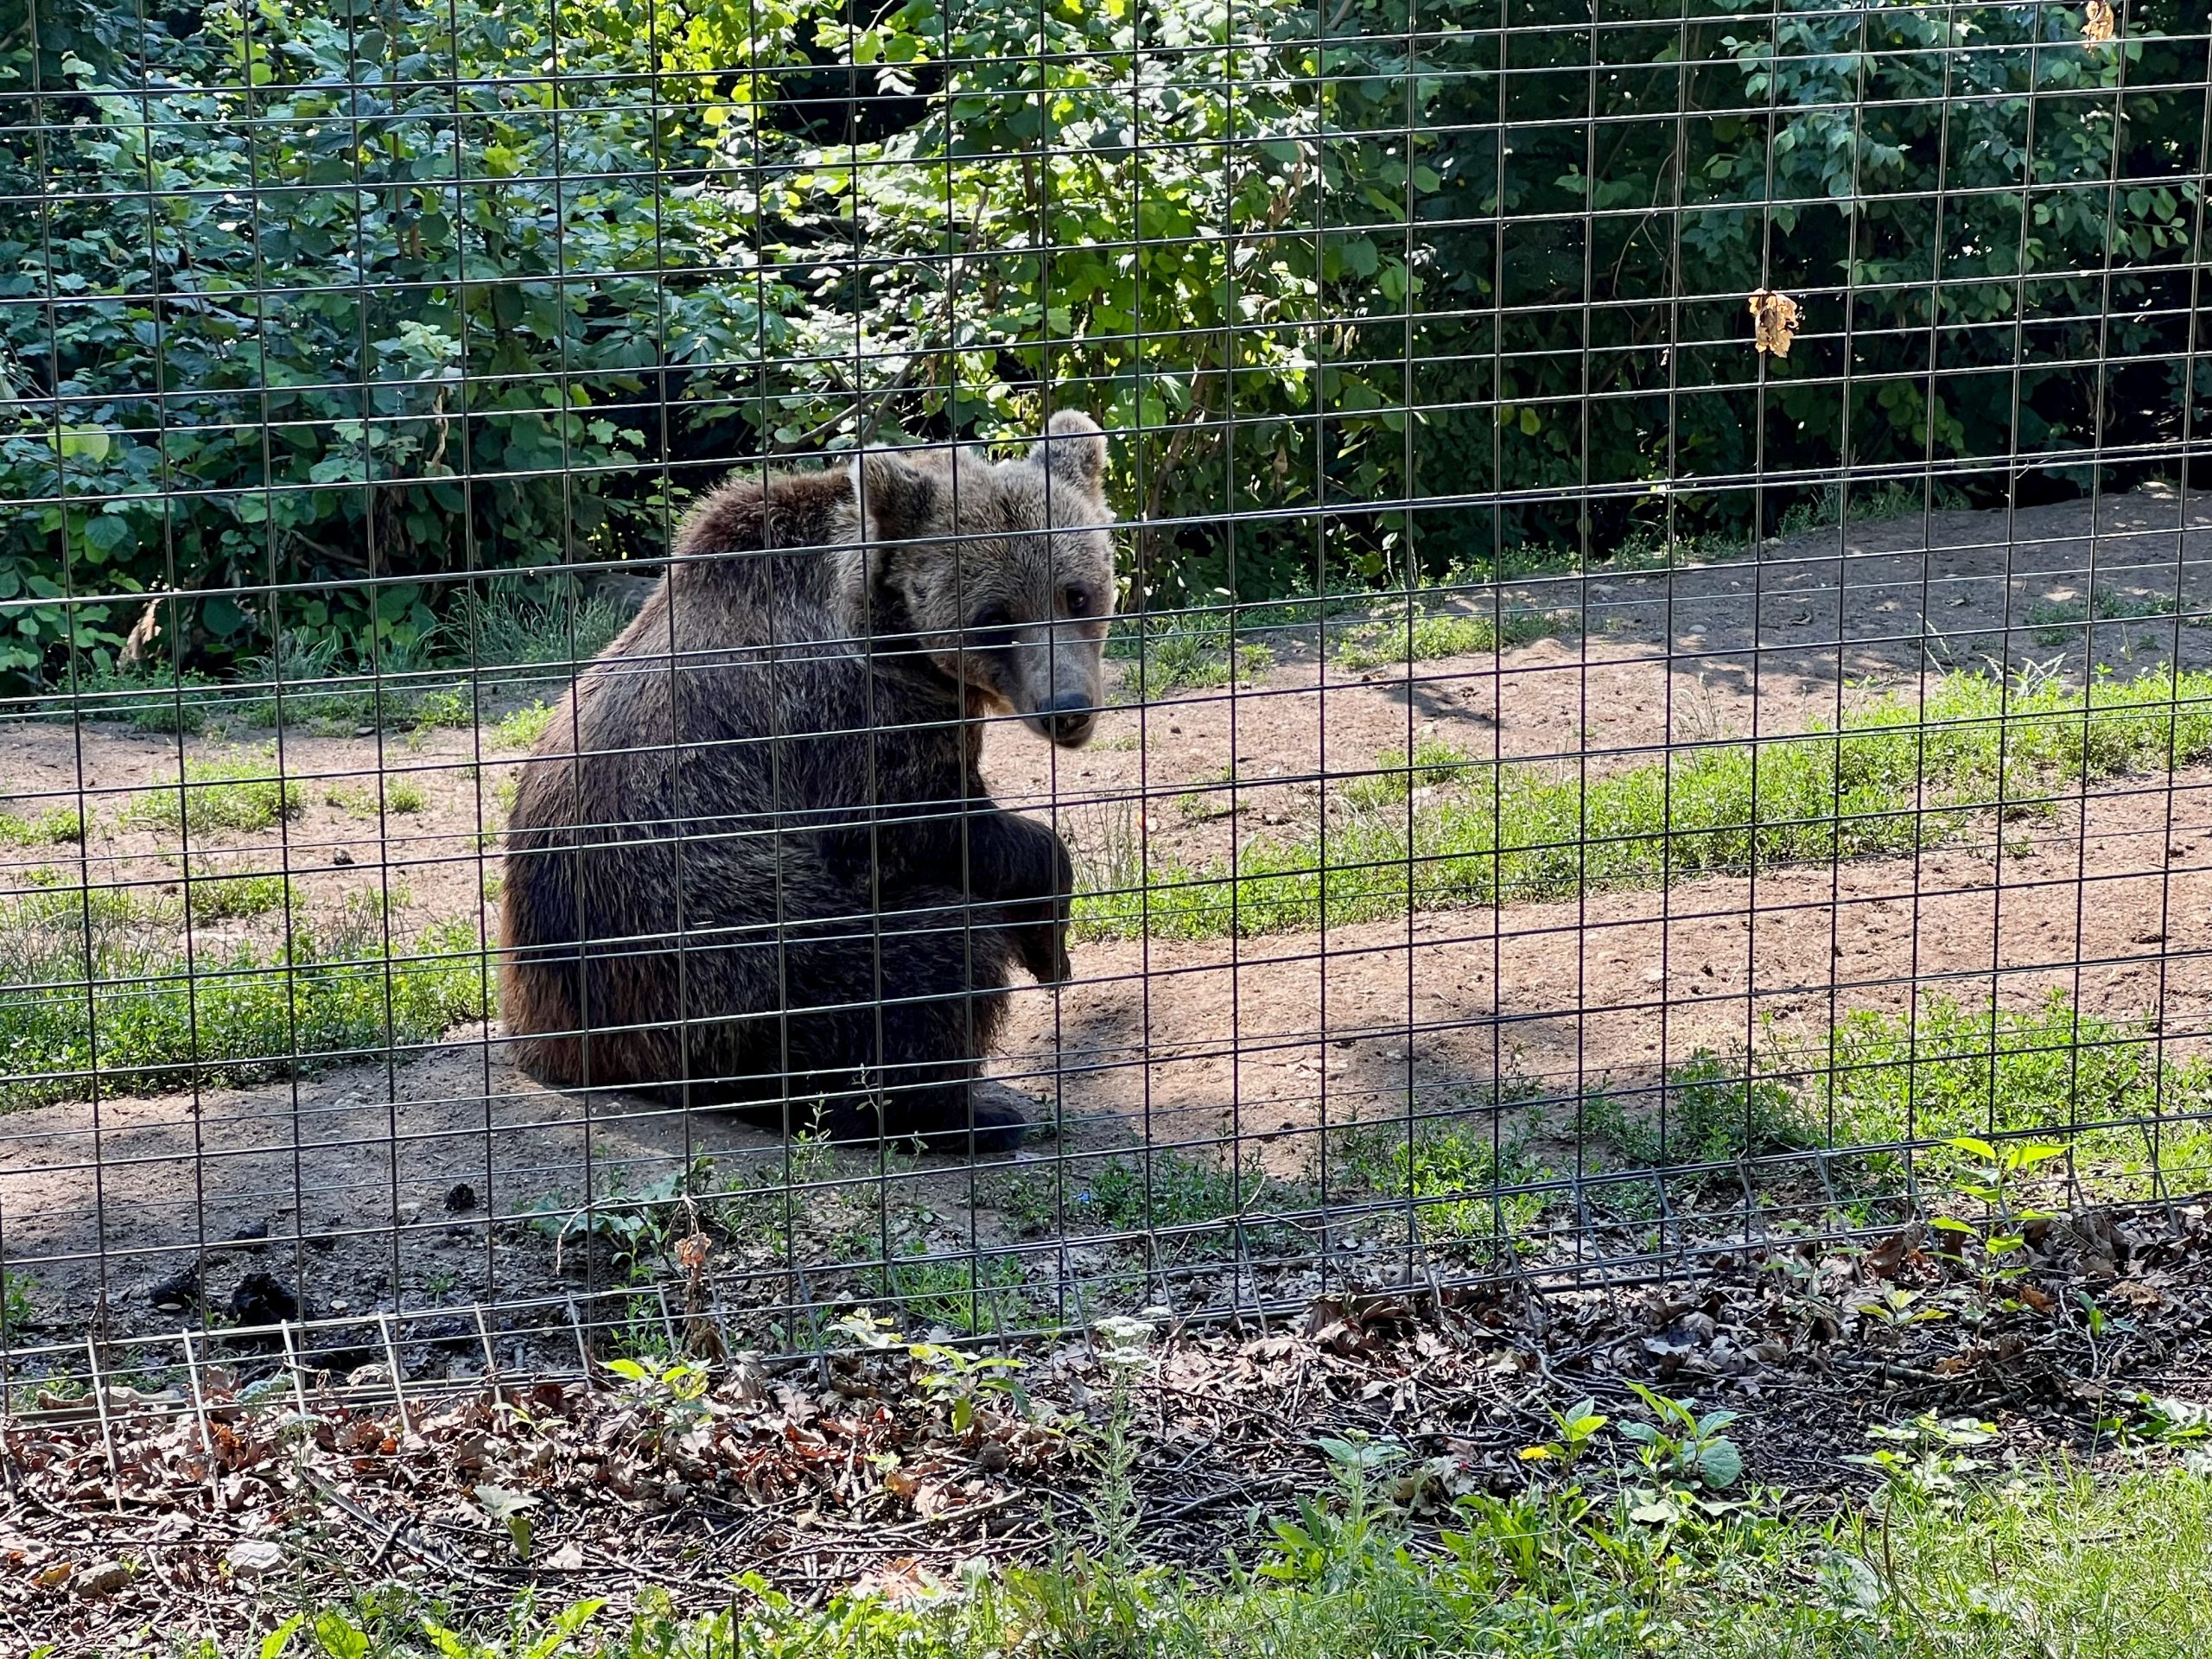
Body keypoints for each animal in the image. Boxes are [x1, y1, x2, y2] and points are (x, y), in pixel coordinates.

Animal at [504, 413, 1123, 1159]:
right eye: (995, 617)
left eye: (1077, 593)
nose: (1067, 707)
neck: (894, 631)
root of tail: (563, 1047)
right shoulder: (844, 710)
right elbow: (906, 830)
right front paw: (1047, 934)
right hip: (724, 968)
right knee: (929, 953)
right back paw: (956, 1113)